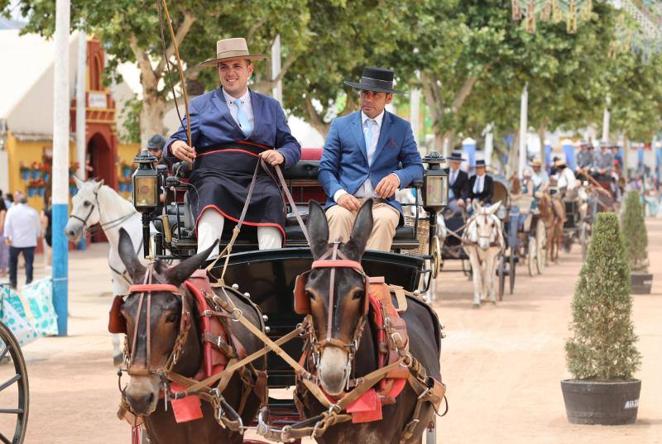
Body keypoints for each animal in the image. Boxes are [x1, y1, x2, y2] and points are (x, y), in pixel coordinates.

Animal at [64, 177, 148, 364]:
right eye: (74, 200)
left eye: (87, 203)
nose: (69, 232)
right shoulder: (118, 284)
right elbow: (114, 310)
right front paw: (118, 352)